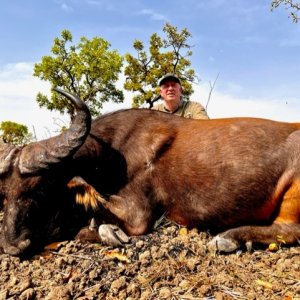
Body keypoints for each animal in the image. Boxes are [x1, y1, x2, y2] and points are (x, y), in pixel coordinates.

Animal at [0, 89, 298, 255]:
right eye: (5, 194)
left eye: (41, 188)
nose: (13, 246)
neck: (111, 153)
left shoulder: (137, 216)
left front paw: (108, 232)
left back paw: (228, 238)